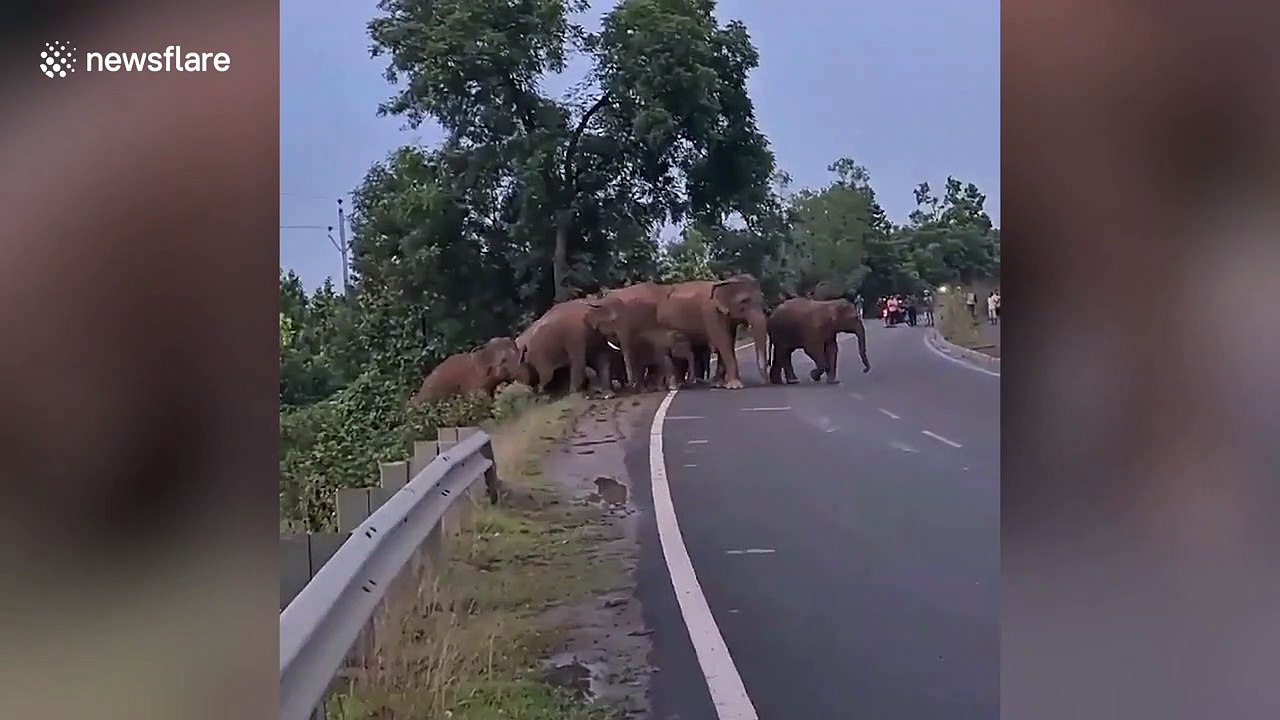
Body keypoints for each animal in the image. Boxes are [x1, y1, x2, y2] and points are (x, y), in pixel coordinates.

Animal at [602, 275, 770, 390]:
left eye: (762, 298)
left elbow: (729, 340)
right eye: (744, 301)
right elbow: (723, 341)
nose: (764, 383)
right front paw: (735, 386)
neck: (724, 282)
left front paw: (718, 384)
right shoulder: (710, 313)